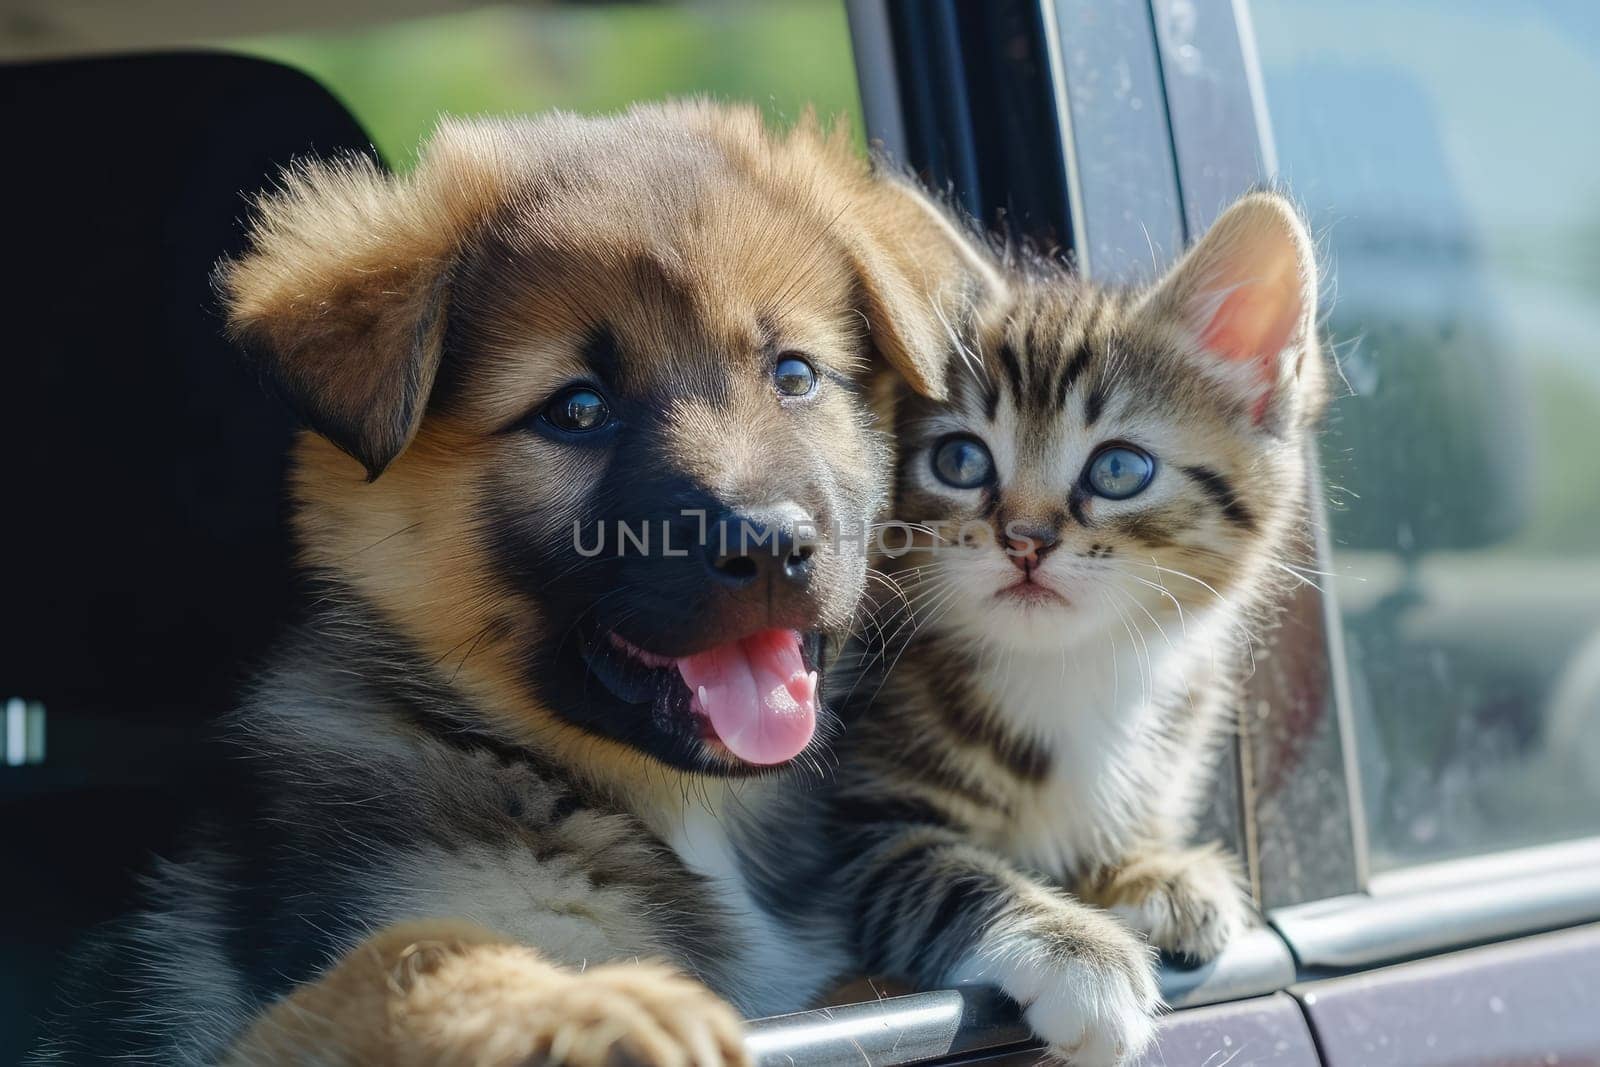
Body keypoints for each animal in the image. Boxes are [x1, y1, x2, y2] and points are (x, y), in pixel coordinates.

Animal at [31, 102, 979, 1067]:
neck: (691, 811)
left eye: (793, 374)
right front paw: (596, 1004)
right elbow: (417, 951)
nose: (771, 546)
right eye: (577, 410)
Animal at [761, 194, 1324, 1067]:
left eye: (1120, 469)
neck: (1066, 667)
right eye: (960, 460)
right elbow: (945, 871)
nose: (1024, 539)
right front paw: (1076, 949)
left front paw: (1155, 872)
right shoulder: (850, 835)